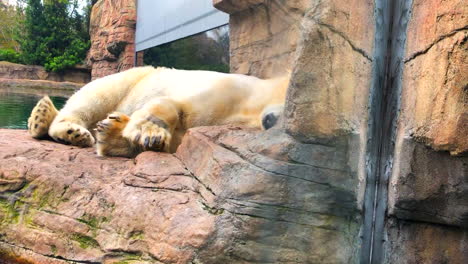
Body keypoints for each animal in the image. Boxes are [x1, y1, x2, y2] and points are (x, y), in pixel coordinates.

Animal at [27, 66, 288, 157]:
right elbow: (179, 106)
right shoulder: (234, 91)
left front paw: (113, 134)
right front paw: (148, 131)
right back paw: (63, 127)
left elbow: (181, 142)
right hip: (134, 77)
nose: (272, 121)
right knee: (94, 95)